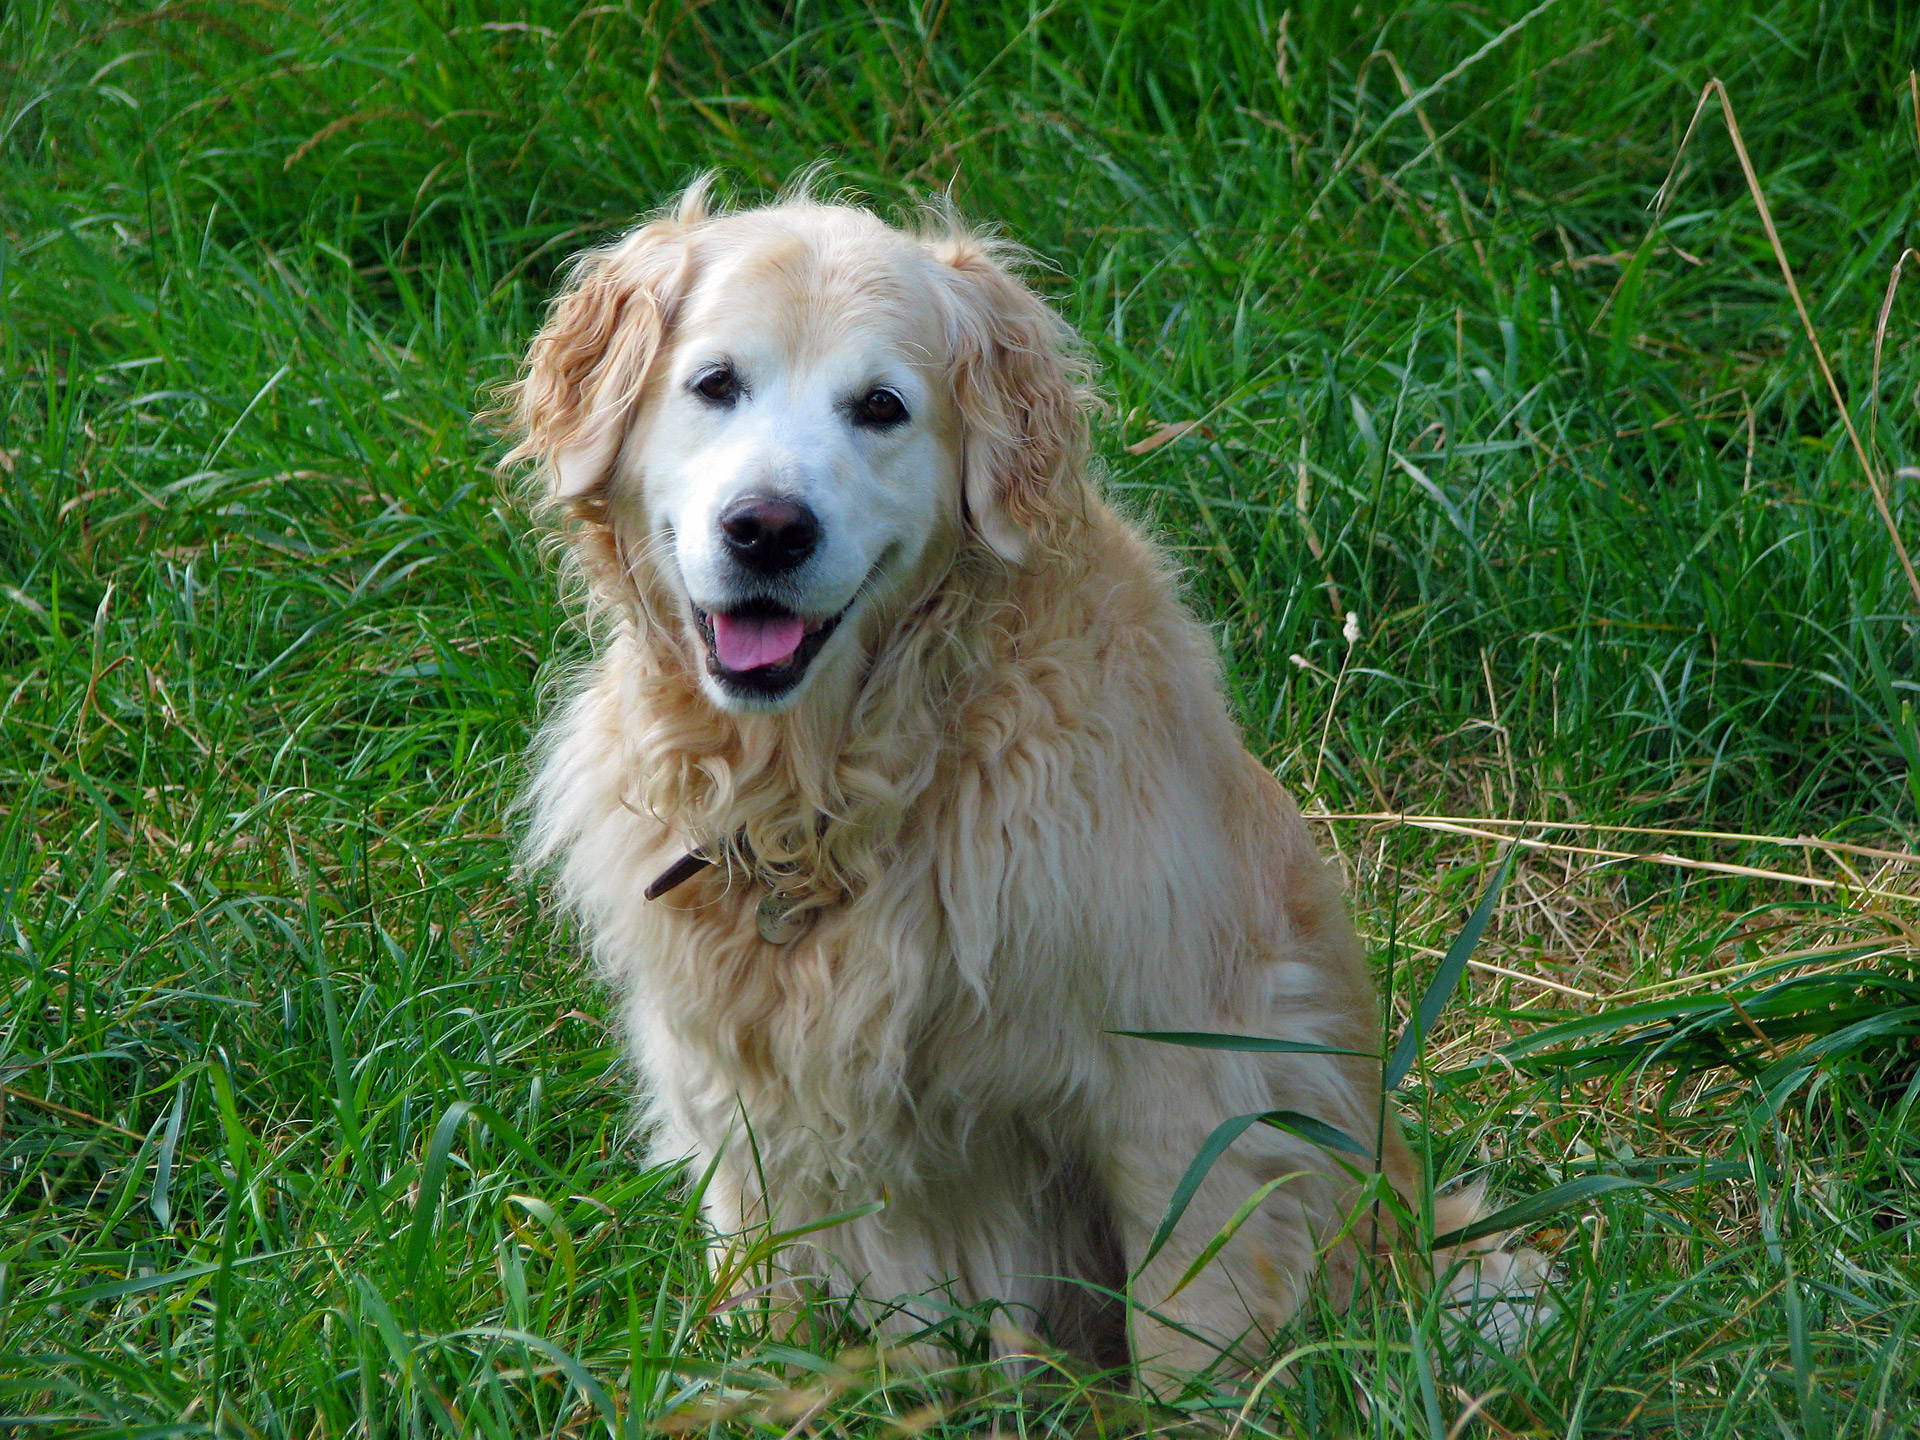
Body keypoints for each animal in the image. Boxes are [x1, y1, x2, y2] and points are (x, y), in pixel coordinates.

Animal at [506, 180, 1512, 1390]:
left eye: (882, 407)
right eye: (715, 384)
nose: (767, 529)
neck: (832, 799)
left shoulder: (1187, 1086)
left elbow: (1187, 1330)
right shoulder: (740, 1119)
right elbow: (763, 1310)